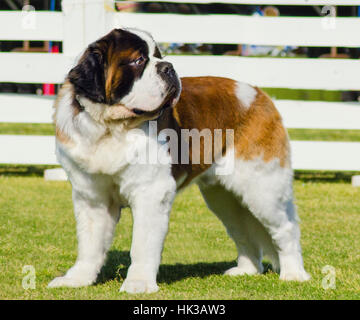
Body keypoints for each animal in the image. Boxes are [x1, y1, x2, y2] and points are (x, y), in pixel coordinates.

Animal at [49, 28, 310, 294]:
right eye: (138, 60)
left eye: (159, 56)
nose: (168, 67)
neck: (111, 128)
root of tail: (259, 94)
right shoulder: (91, 196)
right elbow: (89, 243)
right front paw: (77, 279)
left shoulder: (151, 192)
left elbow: (142, 244)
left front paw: (138, 283)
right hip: (223, 198)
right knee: (242, 230)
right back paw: (246, 270)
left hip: (262, 188)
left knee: (286, 228)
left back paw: (294, 274)